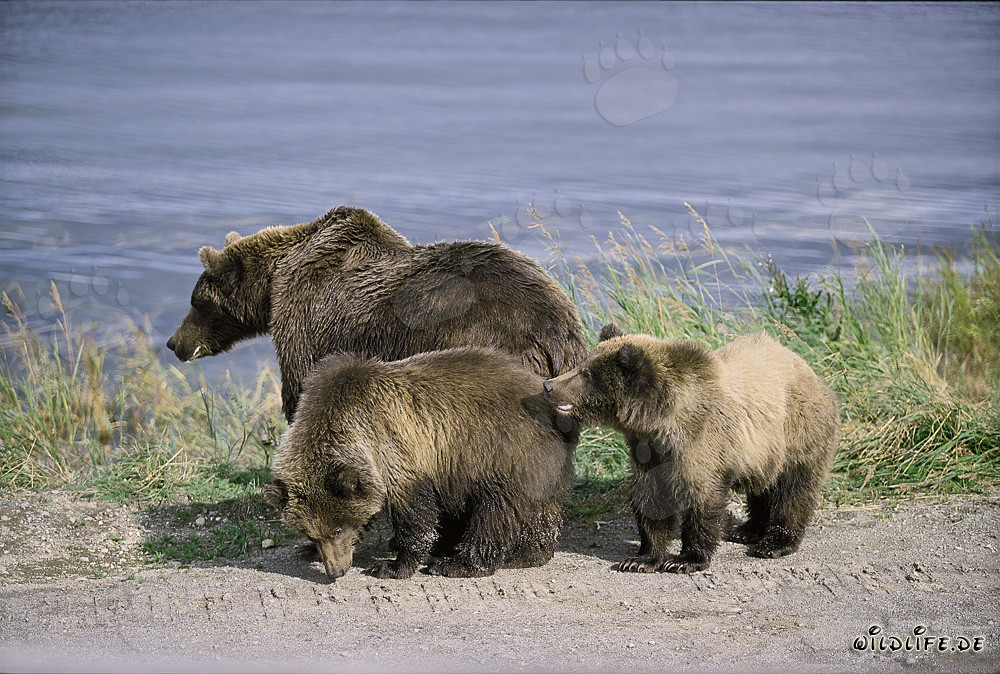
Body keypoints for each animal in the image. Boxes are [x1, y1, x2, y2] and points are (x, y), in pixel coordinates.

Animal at [263, 346, 580, 580]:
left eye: (338, 529)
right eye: (311, 532)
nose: (336, 572)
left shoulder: (393, 447)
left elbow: (415, 513)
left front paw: (392, 565)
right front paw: (308, 551)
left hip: (499, 450)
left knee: (495, 512)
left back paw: (457, 563)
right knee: (542, 508)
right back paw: (530, 553)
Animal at [542, 324, 840, 574]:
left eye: (586, 373)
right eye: (581, 364)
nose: (548, 385)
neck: (664, 422)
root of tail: (808, 368)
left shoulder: (703, 444)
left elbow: (701, 499)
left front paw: (684, 560)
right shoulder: (649, 451)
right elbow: (650, 497)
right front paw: (641, 559)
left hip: (798, 432)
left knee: (793, 489)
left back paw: (774, 542)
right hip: (763, 451)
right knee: (762, 486)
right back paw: (747, 530)